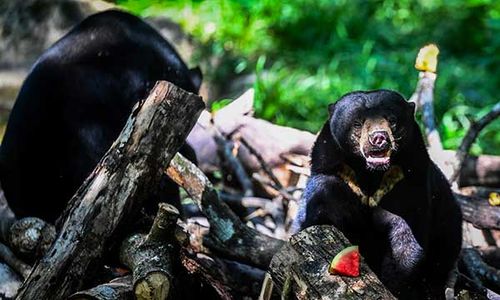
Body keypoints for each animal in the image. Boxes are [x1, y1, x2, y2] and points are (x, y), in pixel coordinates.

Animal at [292, 90, 460, 298]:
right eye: (357, 122)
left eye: (392, 120)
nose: (379, 138)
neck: (370, 174)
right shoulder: (333, 174)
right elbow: (320, 216)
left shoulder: (405, 180)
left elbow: (406, 235)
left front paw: (392, 284)